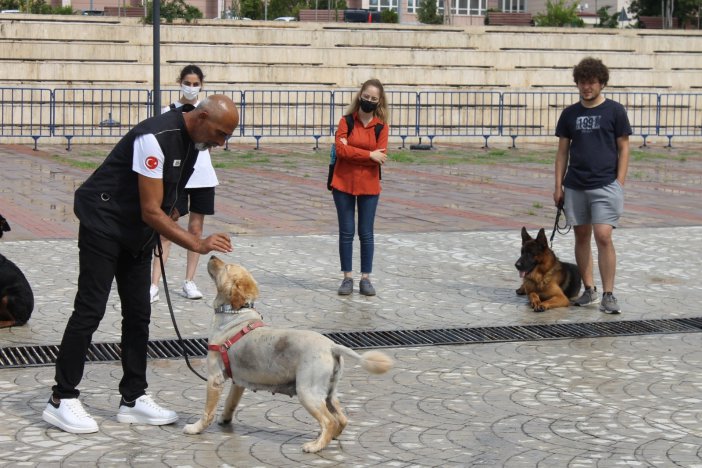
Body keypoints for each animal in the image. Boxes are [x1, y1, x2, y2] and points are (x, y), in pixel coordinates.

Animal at [184, 256, 396, 454]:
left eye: (226, 267)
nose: (212, 255)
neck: (235, 314)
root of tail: (332, 346)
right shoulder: (238, 383)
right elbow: (230, 403)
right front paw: (225, 419)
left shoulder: (214, 379)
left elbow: (207, 411)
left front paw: (196, 428)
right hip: (328, 393)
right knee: (342, 420)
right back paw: (327, 438)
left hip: (307, 392)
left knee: (330, 421)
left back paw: (316, 445)